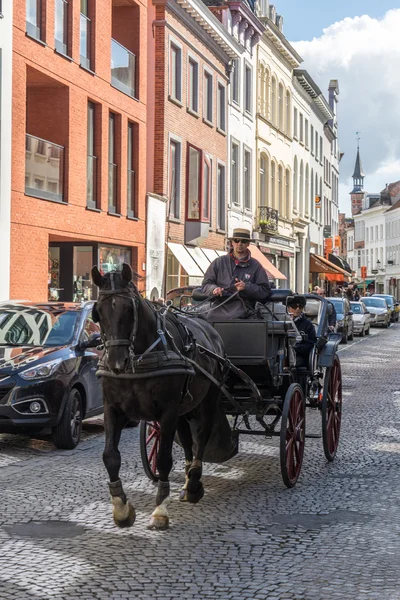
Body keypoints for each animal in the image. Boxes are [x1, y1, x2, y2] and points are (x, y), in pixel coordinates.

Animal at [92, 264, 227, 528]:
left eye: (129, 309)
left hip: (207, 399)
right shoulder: (113, 408)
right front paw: (121, 508)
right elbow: (110, 456)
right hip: (185, 407)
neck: (140, 357)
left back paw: (194, 483)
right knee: (187, 439)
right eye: (99, 312)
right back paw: (188, 481)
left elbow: (164, 458)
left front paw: (161, 509)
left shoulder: (167, 411)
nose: (116, 363)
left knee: (202, 436)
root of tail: (209, 328)